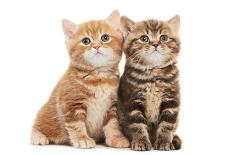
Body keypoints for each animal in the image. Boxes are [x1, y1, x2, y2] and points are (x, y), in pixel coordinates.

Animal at [30, 10, 129, 148]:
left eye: (105, 37)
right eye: (86, 41)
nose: (96, 46)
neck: (98, 78)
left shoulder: (112, 105)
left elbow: (113, 124)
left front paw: (116, 138)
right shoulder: (71, 104)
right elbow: (76, 125)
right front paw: (82, 139)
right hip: (45, 114)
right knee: (37, 125)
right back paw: (38, 136)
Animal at [118, 15, 182, 151]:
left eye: (163, 38)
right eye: (144, 38)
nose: (155, 44)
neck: (153, 74)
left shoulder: (171, 101)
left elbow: (167, 125)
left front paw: (164, 141)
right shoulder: (132, 101)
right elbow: (137, 125)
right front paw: (141, 142)